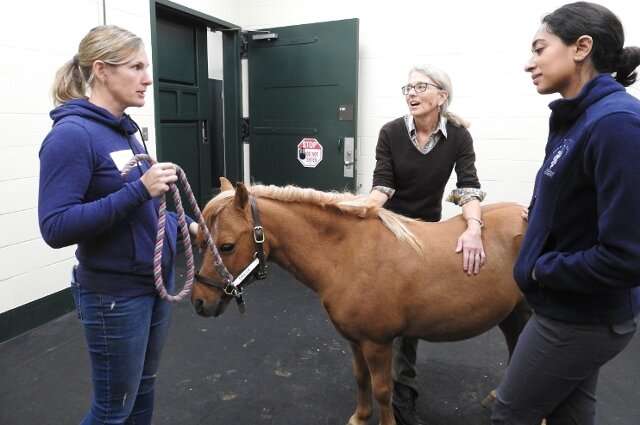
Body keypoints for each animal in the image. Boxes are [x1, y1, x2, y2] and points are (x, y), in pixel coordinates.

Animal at [191, 177, 528, 422]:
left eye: (227, 246)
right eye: (201, 242)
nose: (199, 301)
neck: (349, 255)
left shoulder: (377, 343)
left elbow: (381, 390)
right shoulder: (355, 340)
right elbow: (361, 379)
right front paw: (360, 417)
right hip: (512, 315)